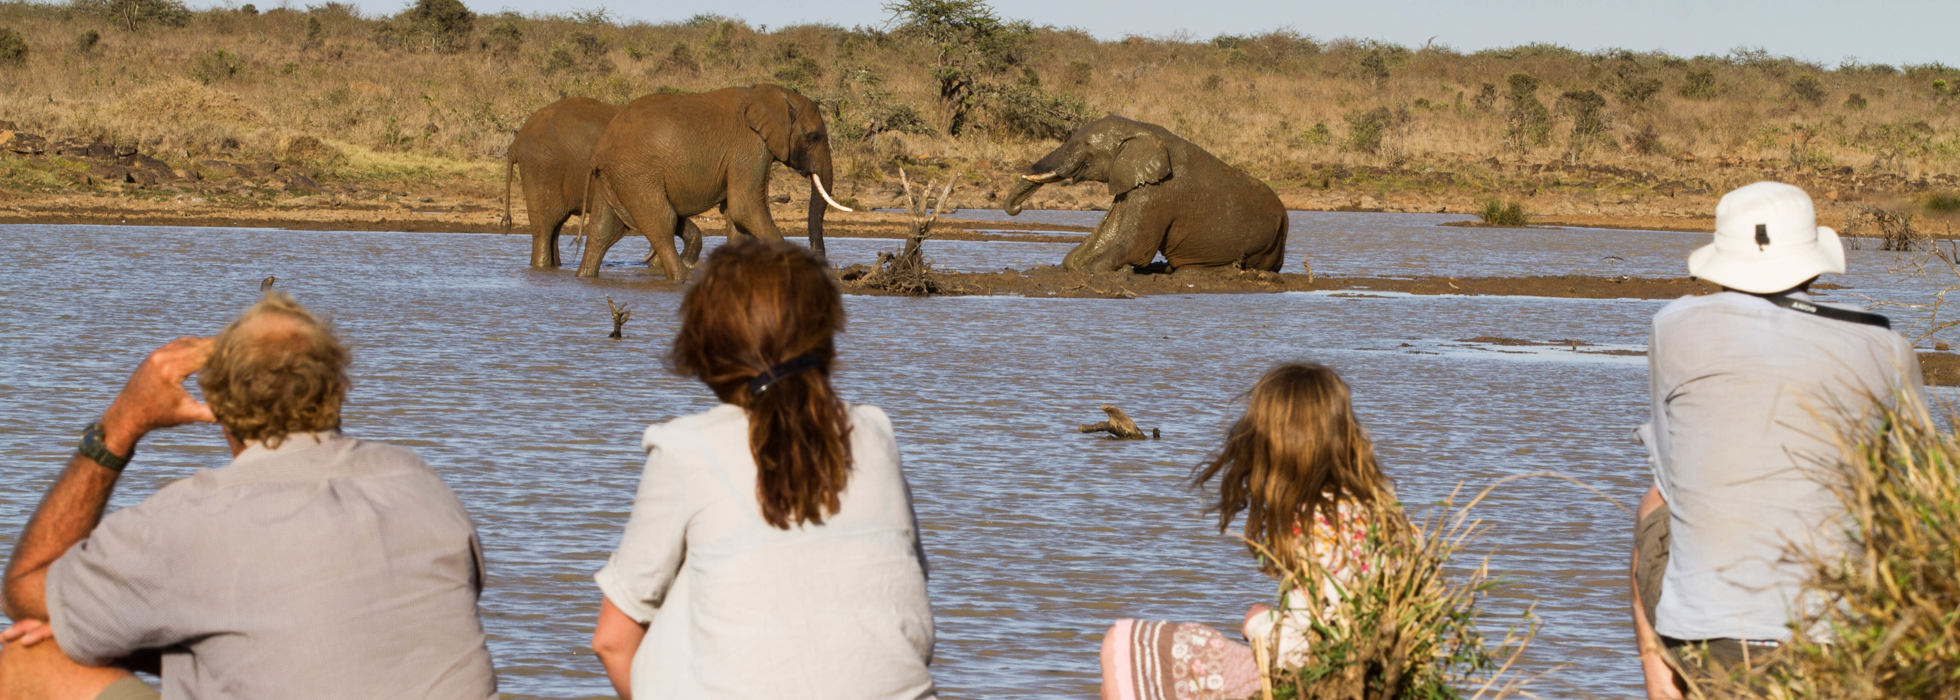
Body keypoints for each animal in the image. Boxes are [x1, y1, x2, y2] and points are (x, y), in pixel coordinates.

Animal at [580, 83, 858, 276]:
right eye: (813, 137)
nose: (825, 265)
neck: (768, 94)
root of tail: (601, 149)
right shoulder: (750, 148)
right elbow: (745, 207)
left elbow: (736, 218)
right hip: (637, 174)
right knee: (662, 223)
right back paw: (682, 279)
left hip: (613, 177)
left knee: (601, 232)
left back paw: (585, 277)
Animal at [1003, 114, 1293, 270]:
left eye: (1085, 145)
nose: (1017, 207)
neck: (1140, 129)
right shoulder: (1133, 183)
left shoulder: (1158, 193)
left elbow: (1133, 247)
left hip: (1267, 245)